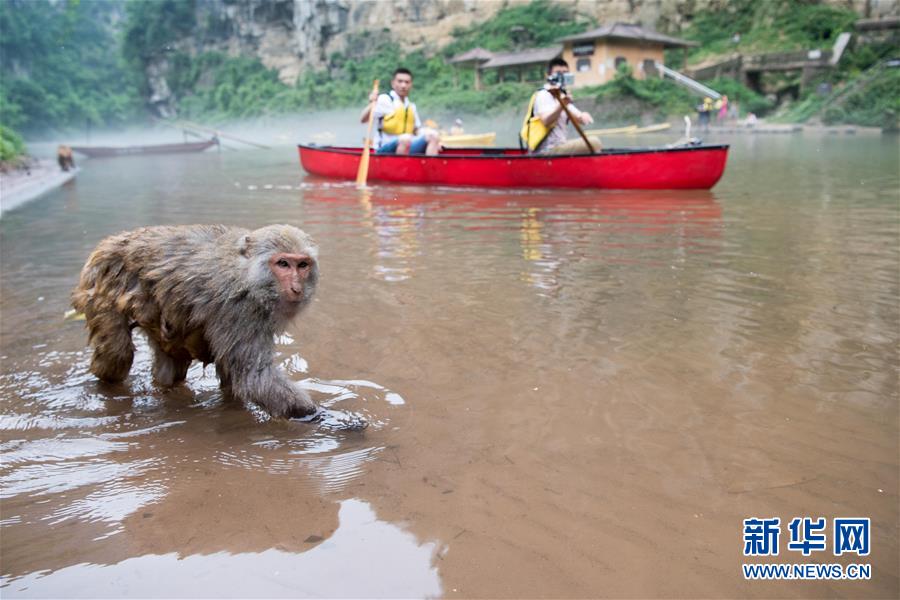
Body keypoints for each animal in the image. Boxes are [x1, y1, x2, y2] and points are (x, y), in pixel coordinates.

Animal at [74, 224, 320, 418]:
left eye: (302, 265)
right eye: (283, 264)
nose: (296, 288)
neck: (247, 275)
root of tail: (111, 242)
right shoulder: (239, 311)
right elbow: (254, 377)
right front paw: (315, 416)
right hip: (101, 285)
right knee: (117, 355)